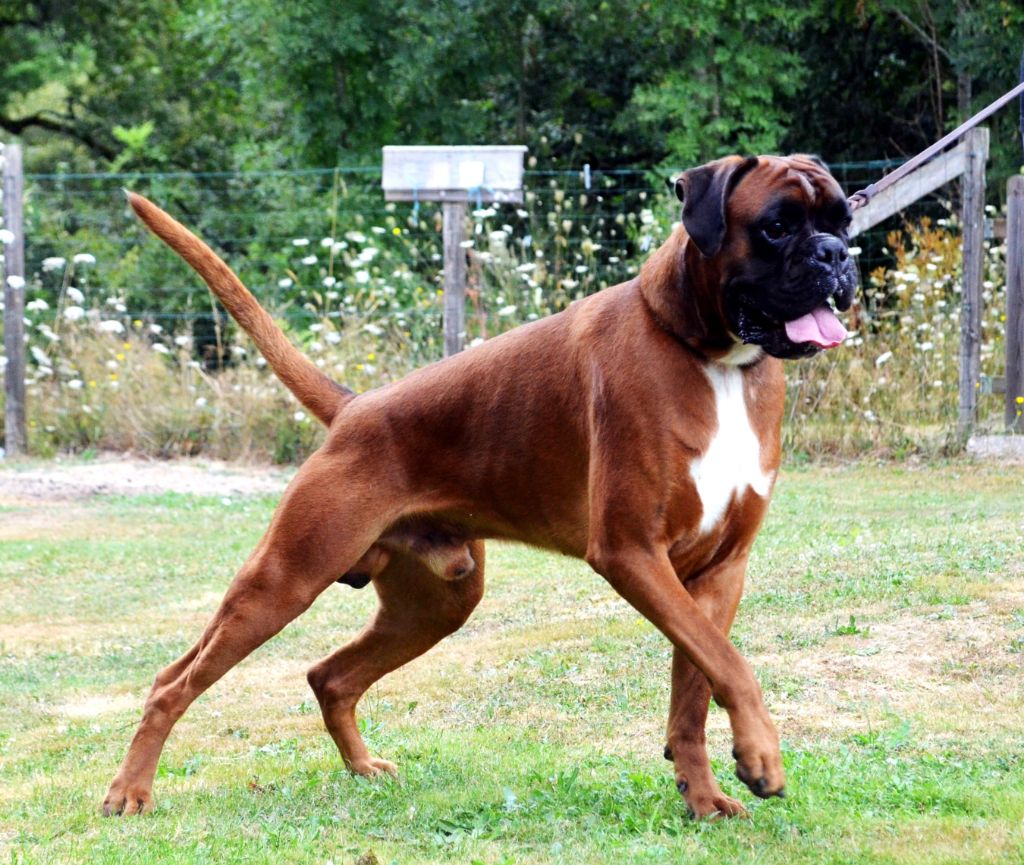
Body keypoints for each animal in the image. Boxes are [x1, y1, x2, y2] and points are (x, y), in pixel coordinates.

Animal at [105, 151, 856, 818]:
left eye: (842, 220)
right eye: (776, 226)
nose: (836, 256)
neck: (715, 358)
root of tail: (355, 407)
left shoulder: (718, 570)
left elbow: (696, 691)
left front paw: (703, 798)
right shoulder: (633, 553)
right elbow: (731, 665)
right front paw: (761, 755)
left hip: (437, 602)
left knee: (330, 675)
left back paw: (361, 767)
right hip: (285, 579)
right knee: (171, 683)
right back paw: (130, 792)